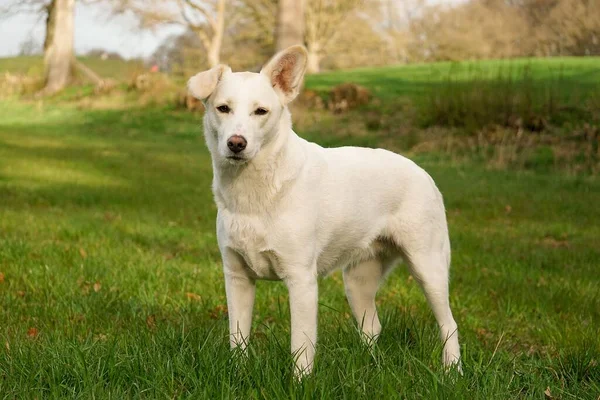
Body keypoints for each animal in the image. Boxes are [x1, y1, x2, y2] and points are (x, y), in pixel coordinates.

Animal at [190, 45, 462, 376]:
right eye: (223, 108)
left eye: (261, 112)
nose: (236, 144)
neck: (254, 192)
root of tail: (423, 172)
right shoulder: (237, 277)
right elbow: (238, 337)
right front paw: (238, 374)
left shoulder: (302, 280)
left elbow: (301, 346)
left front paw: (300, 382)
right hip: (358, 281)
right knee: (372, 326)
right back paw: (370, 367)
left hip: (428, 268)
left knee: (449, 324)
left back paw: (452, 372)